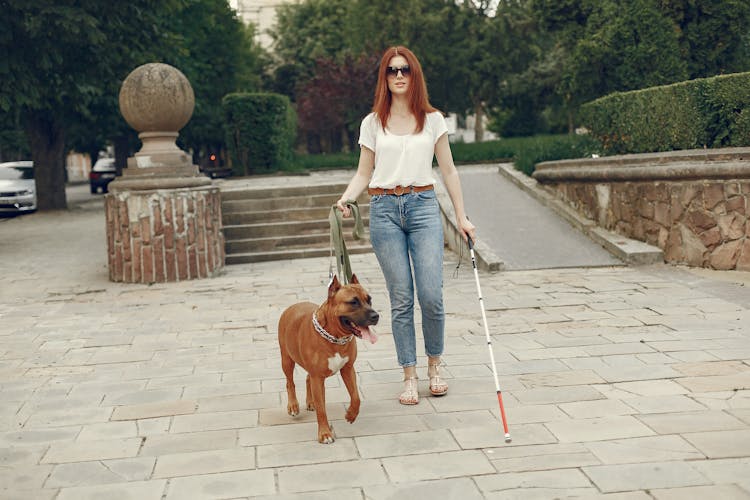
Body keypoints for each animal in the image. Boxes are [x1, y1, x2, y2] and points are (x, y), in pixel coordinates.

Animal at [278, 276, 378, 444]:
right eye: (353, 302)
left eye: (369, 300)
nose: (376, 316)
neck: (335, 338)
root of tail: (293, 306)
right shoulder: (318, 378)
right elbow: (322, 410)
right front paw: (324, 434)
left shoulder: (348, 369)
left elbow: (356, 397)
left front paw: (351, 414)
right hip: (286, 359)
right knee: (289, 382)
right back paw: (293, 406)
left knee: (307, 379)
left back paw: (310, 402)